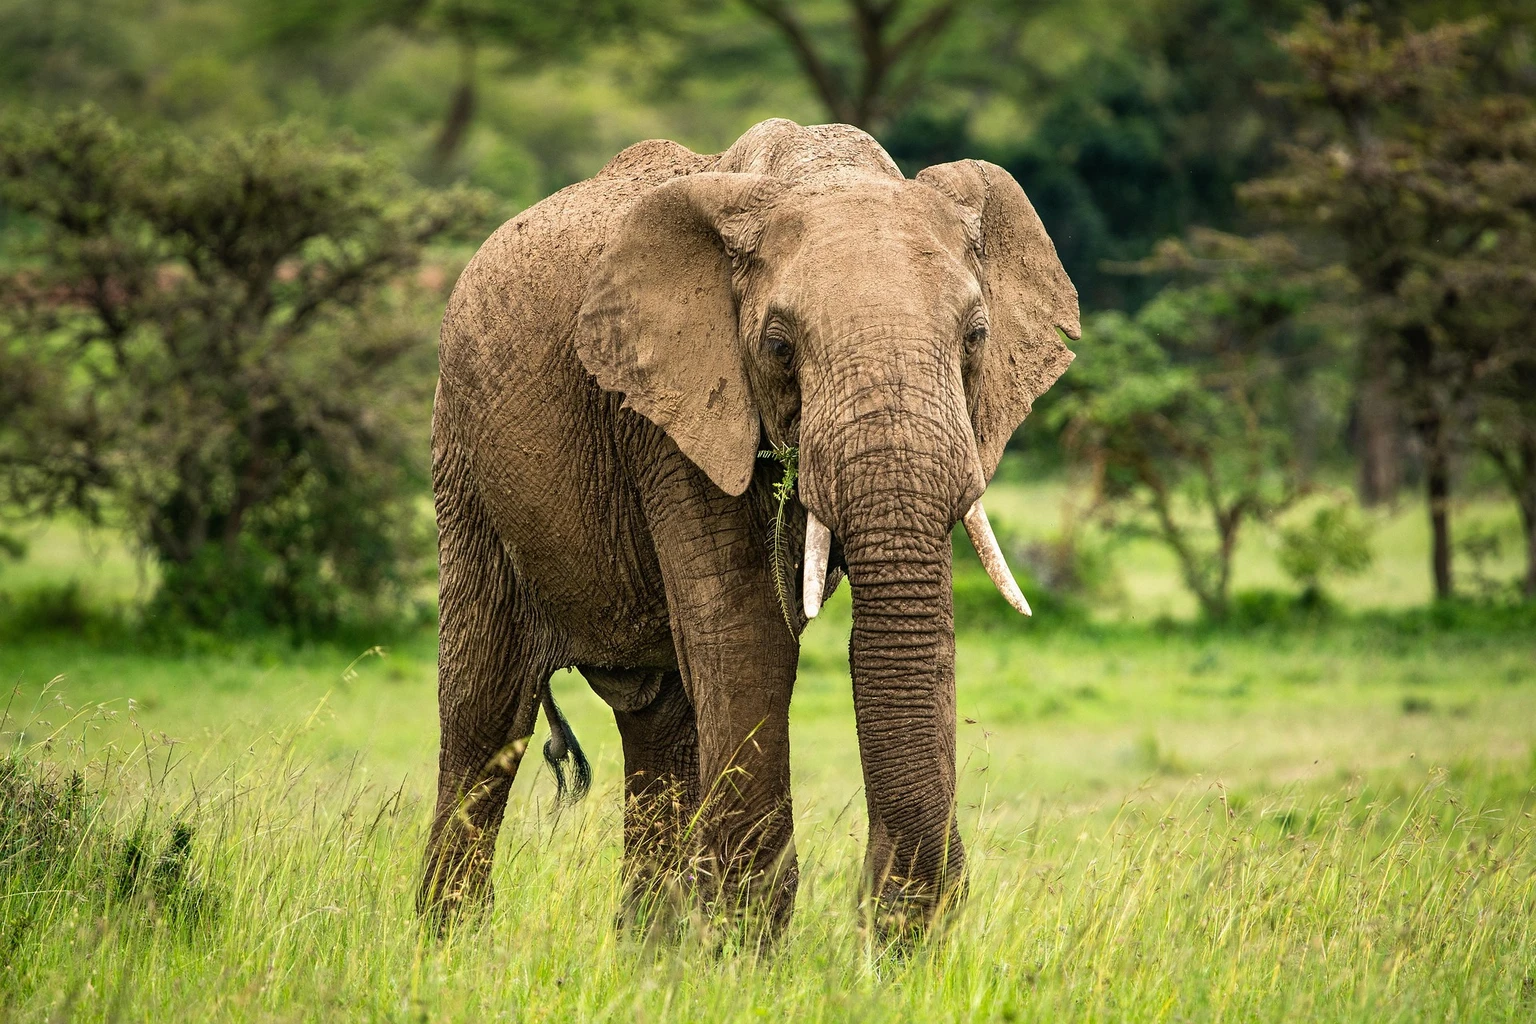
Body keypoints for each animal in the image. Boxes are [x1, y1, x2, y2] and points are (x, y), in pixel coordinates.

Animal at [421, 118, 1079, 937]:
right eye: (778, 346)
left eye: (976, 337)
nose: (884, 921)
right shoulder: (670, 415)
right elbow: (748, 633)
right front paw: (745, 941)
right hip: (465, 461)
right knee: (486, 714)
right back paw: (448, 946)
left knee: (660, 719)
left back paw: (649, 951)